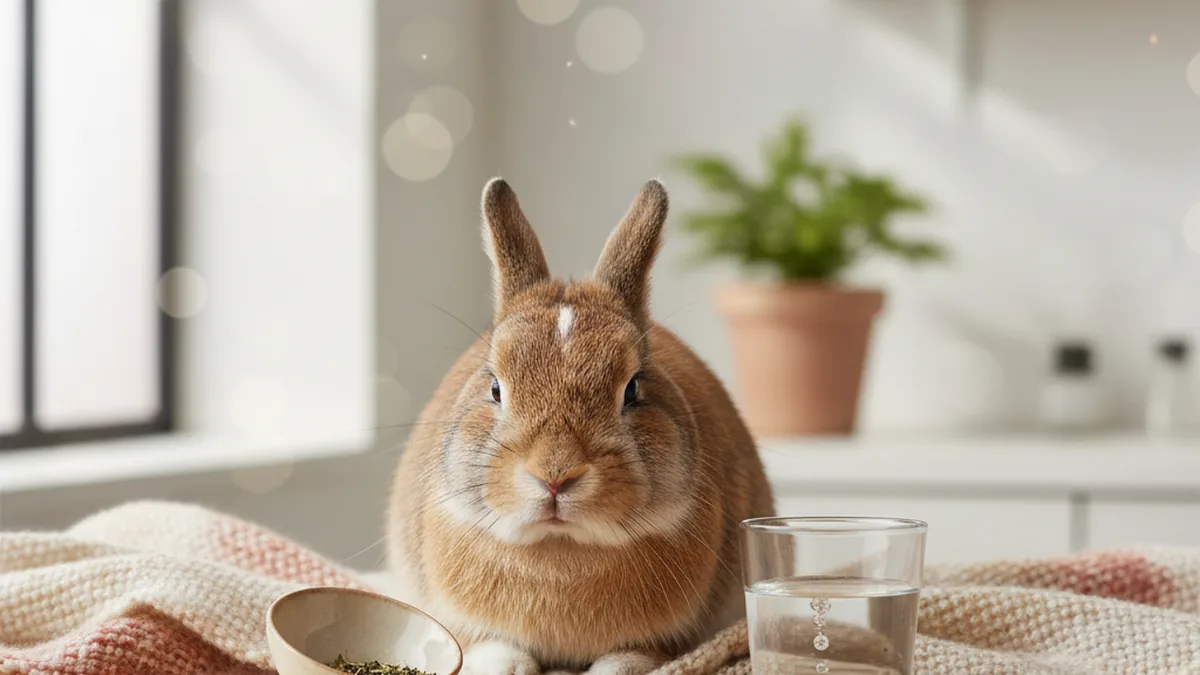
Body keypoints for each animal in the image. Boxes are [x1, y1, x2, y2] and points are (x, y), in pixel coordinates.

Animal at [387, 178, 776, 675]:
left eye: (632, 389)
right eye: (495, 387)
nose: (555, 475)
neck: (561, 548)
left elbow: (629, 660)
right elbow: (494, 650)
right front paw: (508, 667)